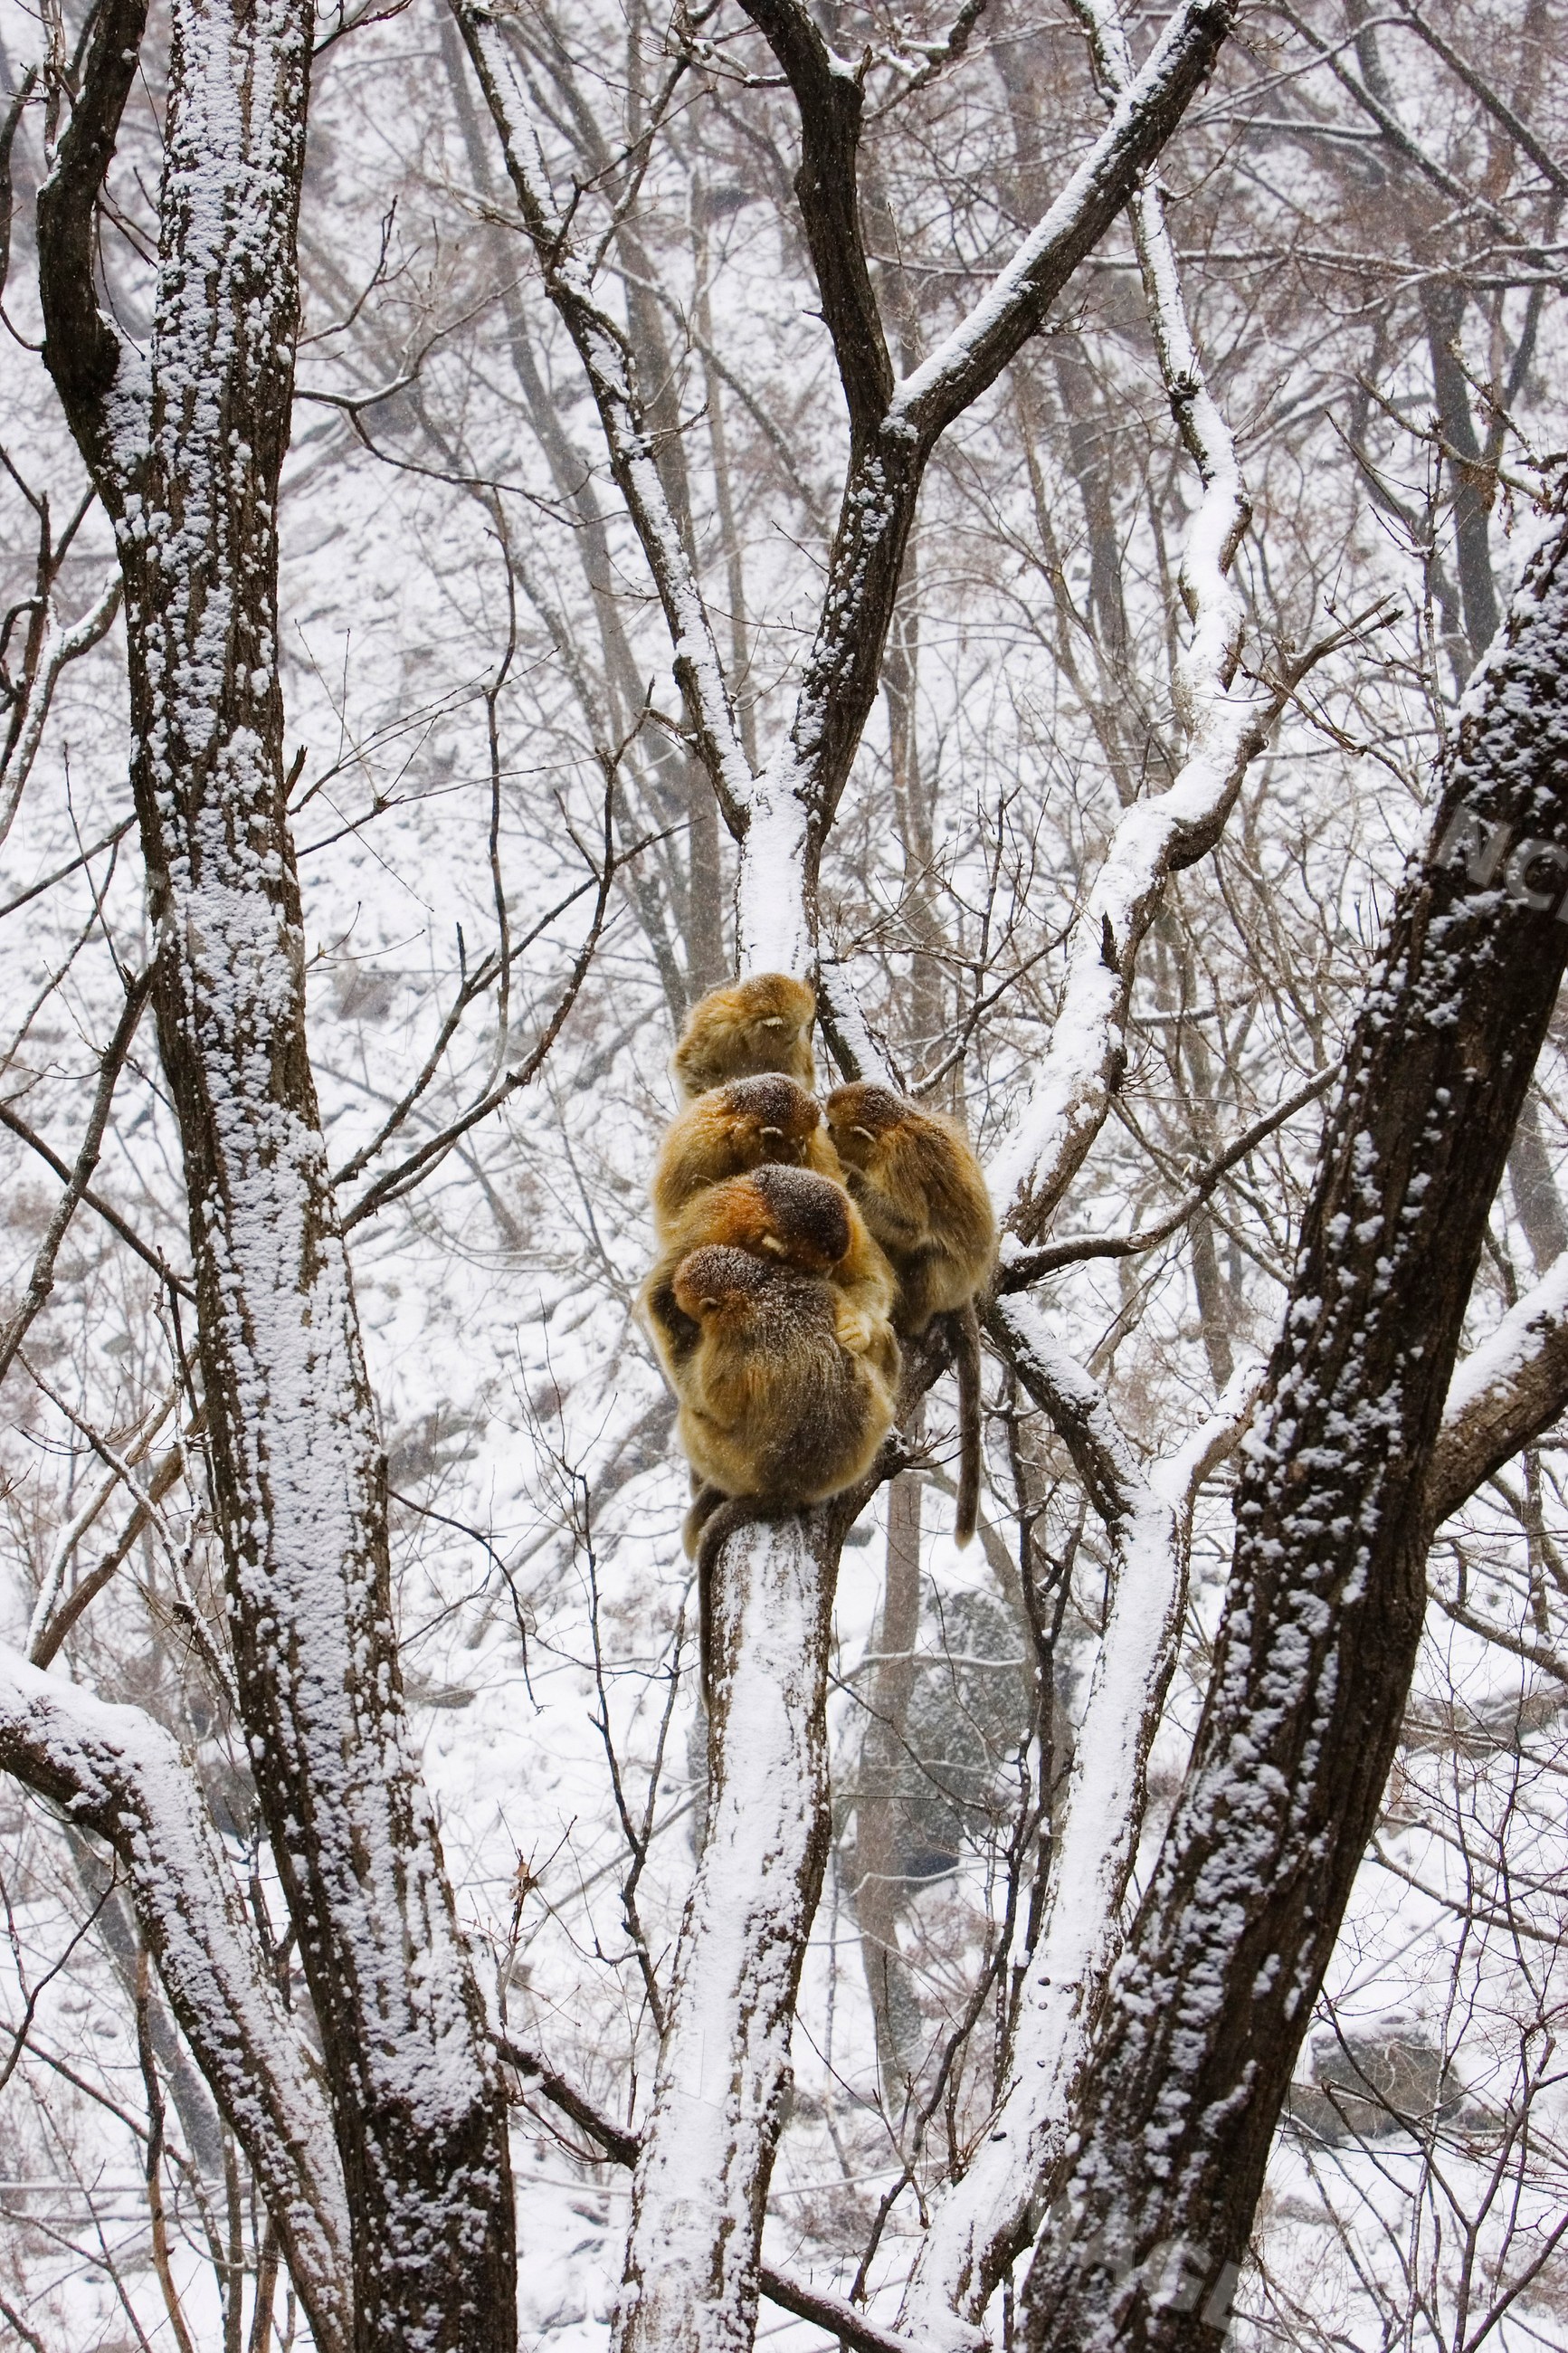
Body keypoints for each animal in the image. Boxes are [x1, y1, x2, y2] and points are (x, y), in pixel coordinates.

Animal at [669, 1243, 897, 1699]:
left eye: (695, 1311)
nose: (686, 1320)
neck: (757, 1285)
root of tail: (788, 1490)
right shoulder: (818, 1287)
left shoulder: (727, 1345)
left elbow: (713, 1403)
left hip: (735, 1464)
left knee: (695, 1420)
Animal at [824, 1083, 998, 1547]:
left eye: (833, 1125)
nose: (825, 1133)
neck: (899, 1125)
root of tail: (966, 1288)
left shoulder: (901, 1159)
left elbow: (908, 1226)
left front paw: (847, 1171)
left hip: (943, 1283)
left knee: (927, 1254)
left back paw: (909, 1320)